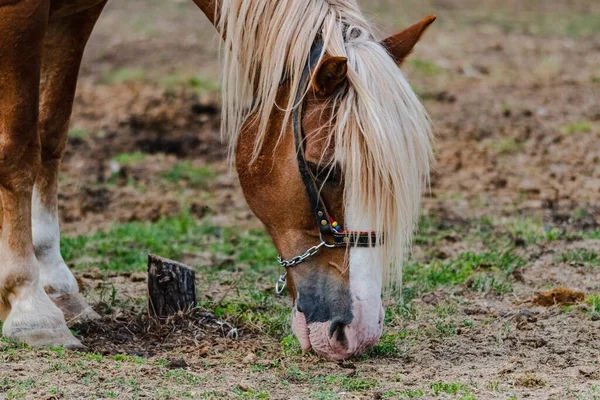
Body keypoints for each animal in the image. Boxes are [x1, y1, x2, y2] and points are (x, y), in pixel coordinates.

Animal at [0, 0, 432, 360]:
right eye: (325, 170)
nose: (360, 332)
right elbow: (19, 149)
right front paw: (30, 307)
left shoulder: (76, 14)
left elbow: (50, 135)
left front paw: (58, 288)